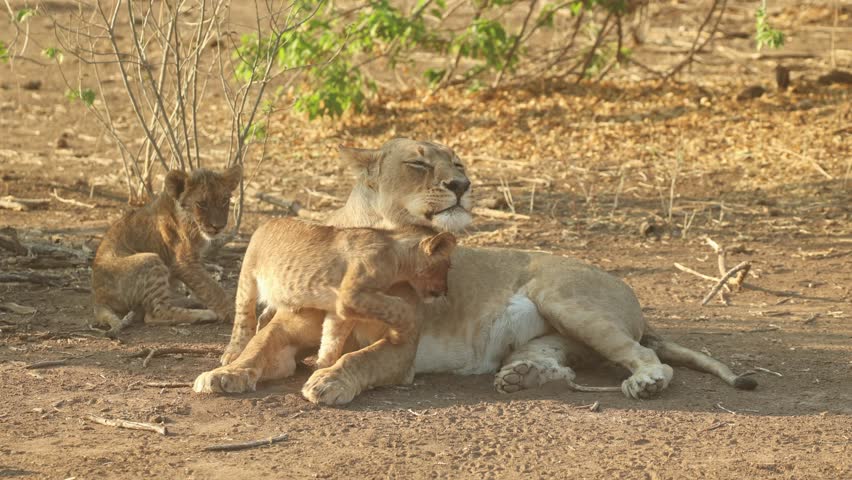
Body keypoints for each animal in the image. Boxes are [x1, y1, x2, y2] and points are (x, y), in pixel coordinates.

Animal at [92, 166, 241, 336]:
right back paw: (204, 314)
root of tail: (98, 298)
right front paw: (235, 313)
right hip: (150, 259)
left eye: (224, 200)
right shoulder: (184, 263)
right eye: (202, 203)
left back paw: (192, 301)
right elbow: (212, 289)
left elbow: (206, 287)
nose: (218, 227)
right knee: (154, 314)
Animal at [215, 217, 455, 377]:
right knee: (243, 317)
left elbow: (332, 336)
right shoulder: (351, 296)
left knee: (265, 316)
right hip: (248, 279)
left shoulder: (339, 307)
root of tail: (266, 222)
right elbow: (398, 307)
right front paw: (400, 333)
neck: (396, 253)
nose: (445, 291)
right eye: (447, 266)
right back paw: (233, 353)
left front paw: (323, 366)